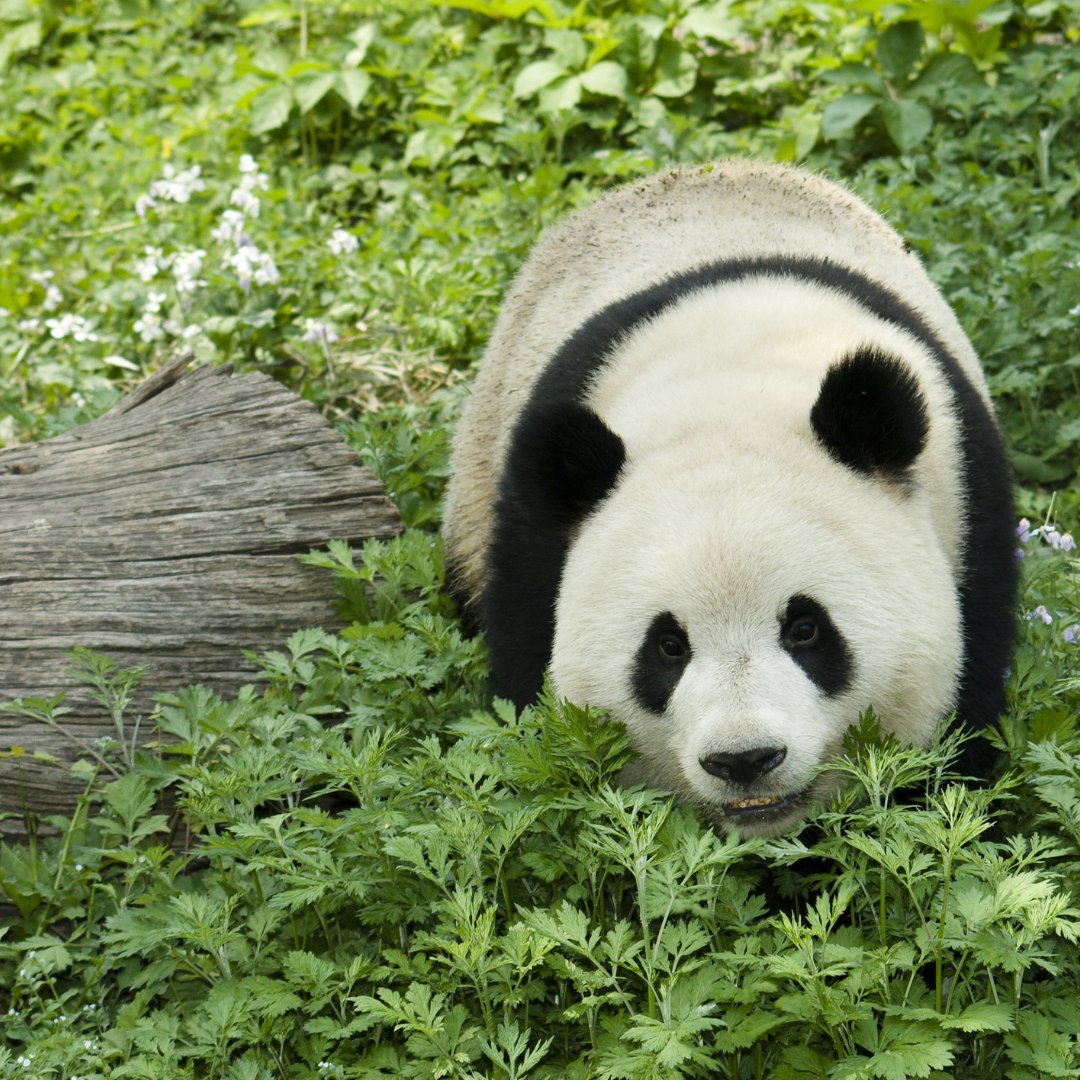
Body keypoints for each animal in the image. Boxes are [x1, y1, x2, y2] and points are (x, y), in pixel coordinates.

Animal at [443, 160, 1017, 837]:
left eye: (805, 629)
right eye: (668, 646)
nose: (745, 760)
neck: (743, 376)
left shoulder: (971, 524)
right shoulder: (532, 548)